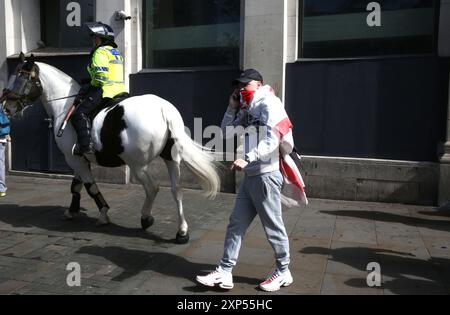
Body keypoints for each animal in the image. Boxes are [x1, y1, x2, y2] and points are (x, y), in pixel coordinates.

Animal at [2, 53, 221, 244]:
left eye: (21, 77)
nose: (7, 108)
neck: (65, 107)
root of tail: (163, 109)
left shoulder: (73, 158)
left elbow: (89, 187)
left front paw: (103, 214)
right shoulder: (80, 159)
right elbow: (76, 186)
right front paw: (72, 211)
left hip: (137, 165)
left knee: (152, 187)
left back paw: (146, 218)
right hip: (171, 159)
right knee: (177, 191)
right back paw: (182, 232)